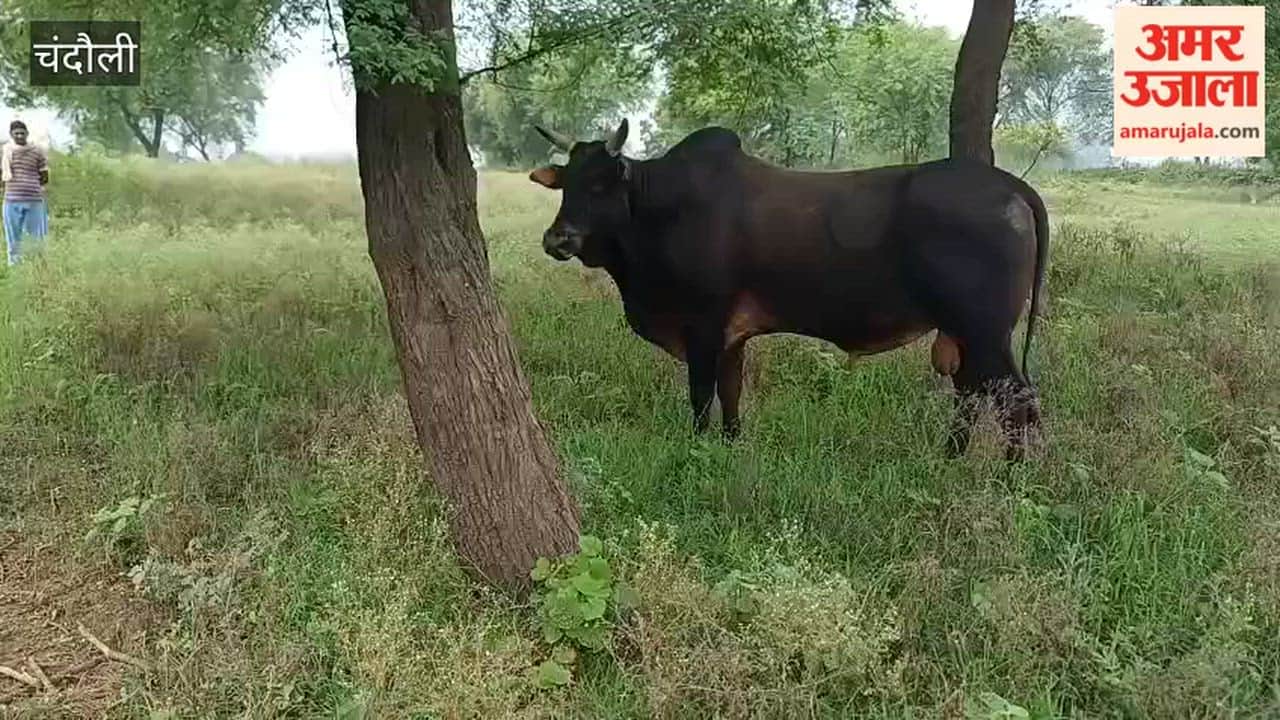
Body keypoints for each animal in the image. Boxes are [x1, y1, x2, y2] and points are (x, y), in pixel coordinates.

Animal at [528, 119, 1048, 459]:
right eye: (566, 183)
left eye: (602, 183)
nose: (557, 239)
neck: (659, 208)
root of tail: (1010, 186)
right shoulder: (731, 336)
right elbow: (731, 392)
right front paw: (731, 446)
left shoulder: (703, 325)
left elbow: (701, 396)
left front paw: (698, 449)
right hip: (966, 334)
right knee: (973, 394)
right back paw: (951, 460)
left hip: (984, 331)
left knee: (1016, 402)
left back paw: (1008, 481)